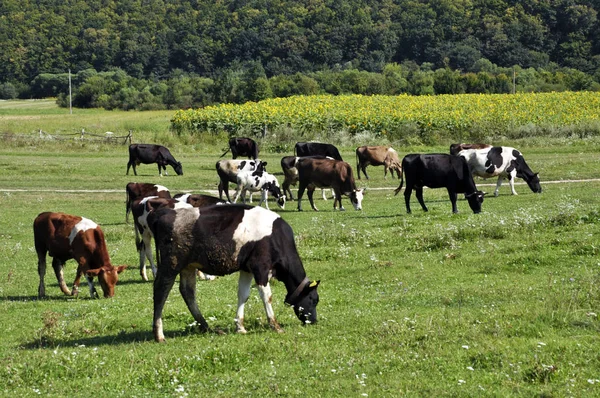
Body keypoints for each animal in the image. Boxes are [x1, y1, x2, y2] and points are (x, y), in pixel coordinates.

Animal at [147, 204, 318, 344]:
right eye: (314, 299)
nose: (314, 321)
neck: (277, 237)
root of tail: (163, 212)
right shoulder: (260, 267)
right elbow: (266, 296)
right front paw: (275, 325)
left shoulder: (247, 269)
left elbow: (243, 295)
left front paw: (240, 327)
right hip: (171, 263)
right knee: (161, 290)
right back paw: (159, 335)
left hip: (188, 266)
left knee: (187, 292)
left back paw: (207, 327)